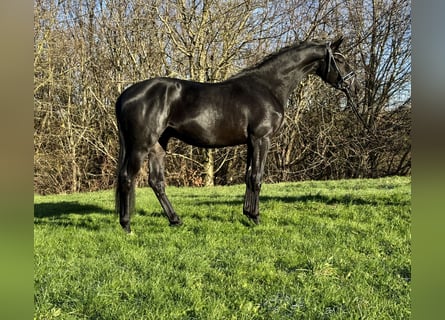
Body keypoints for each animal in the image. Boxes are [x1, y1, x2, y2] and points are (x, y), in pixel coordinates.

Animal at [114, 37, 354, 232]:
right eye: (339, 59)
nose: (351, 82)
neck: (269, 86)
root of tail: (126, 94)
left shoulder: (251, 142)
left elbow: (248, 177)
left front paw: (247, 213)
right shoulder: (261, 139)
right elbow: (257, 177)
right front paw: (255, 218)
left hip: (158, 146)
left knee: (156, 182)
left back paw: (175, 220)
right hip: (140, 145)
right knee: (127, 177)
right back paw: (126, 225)